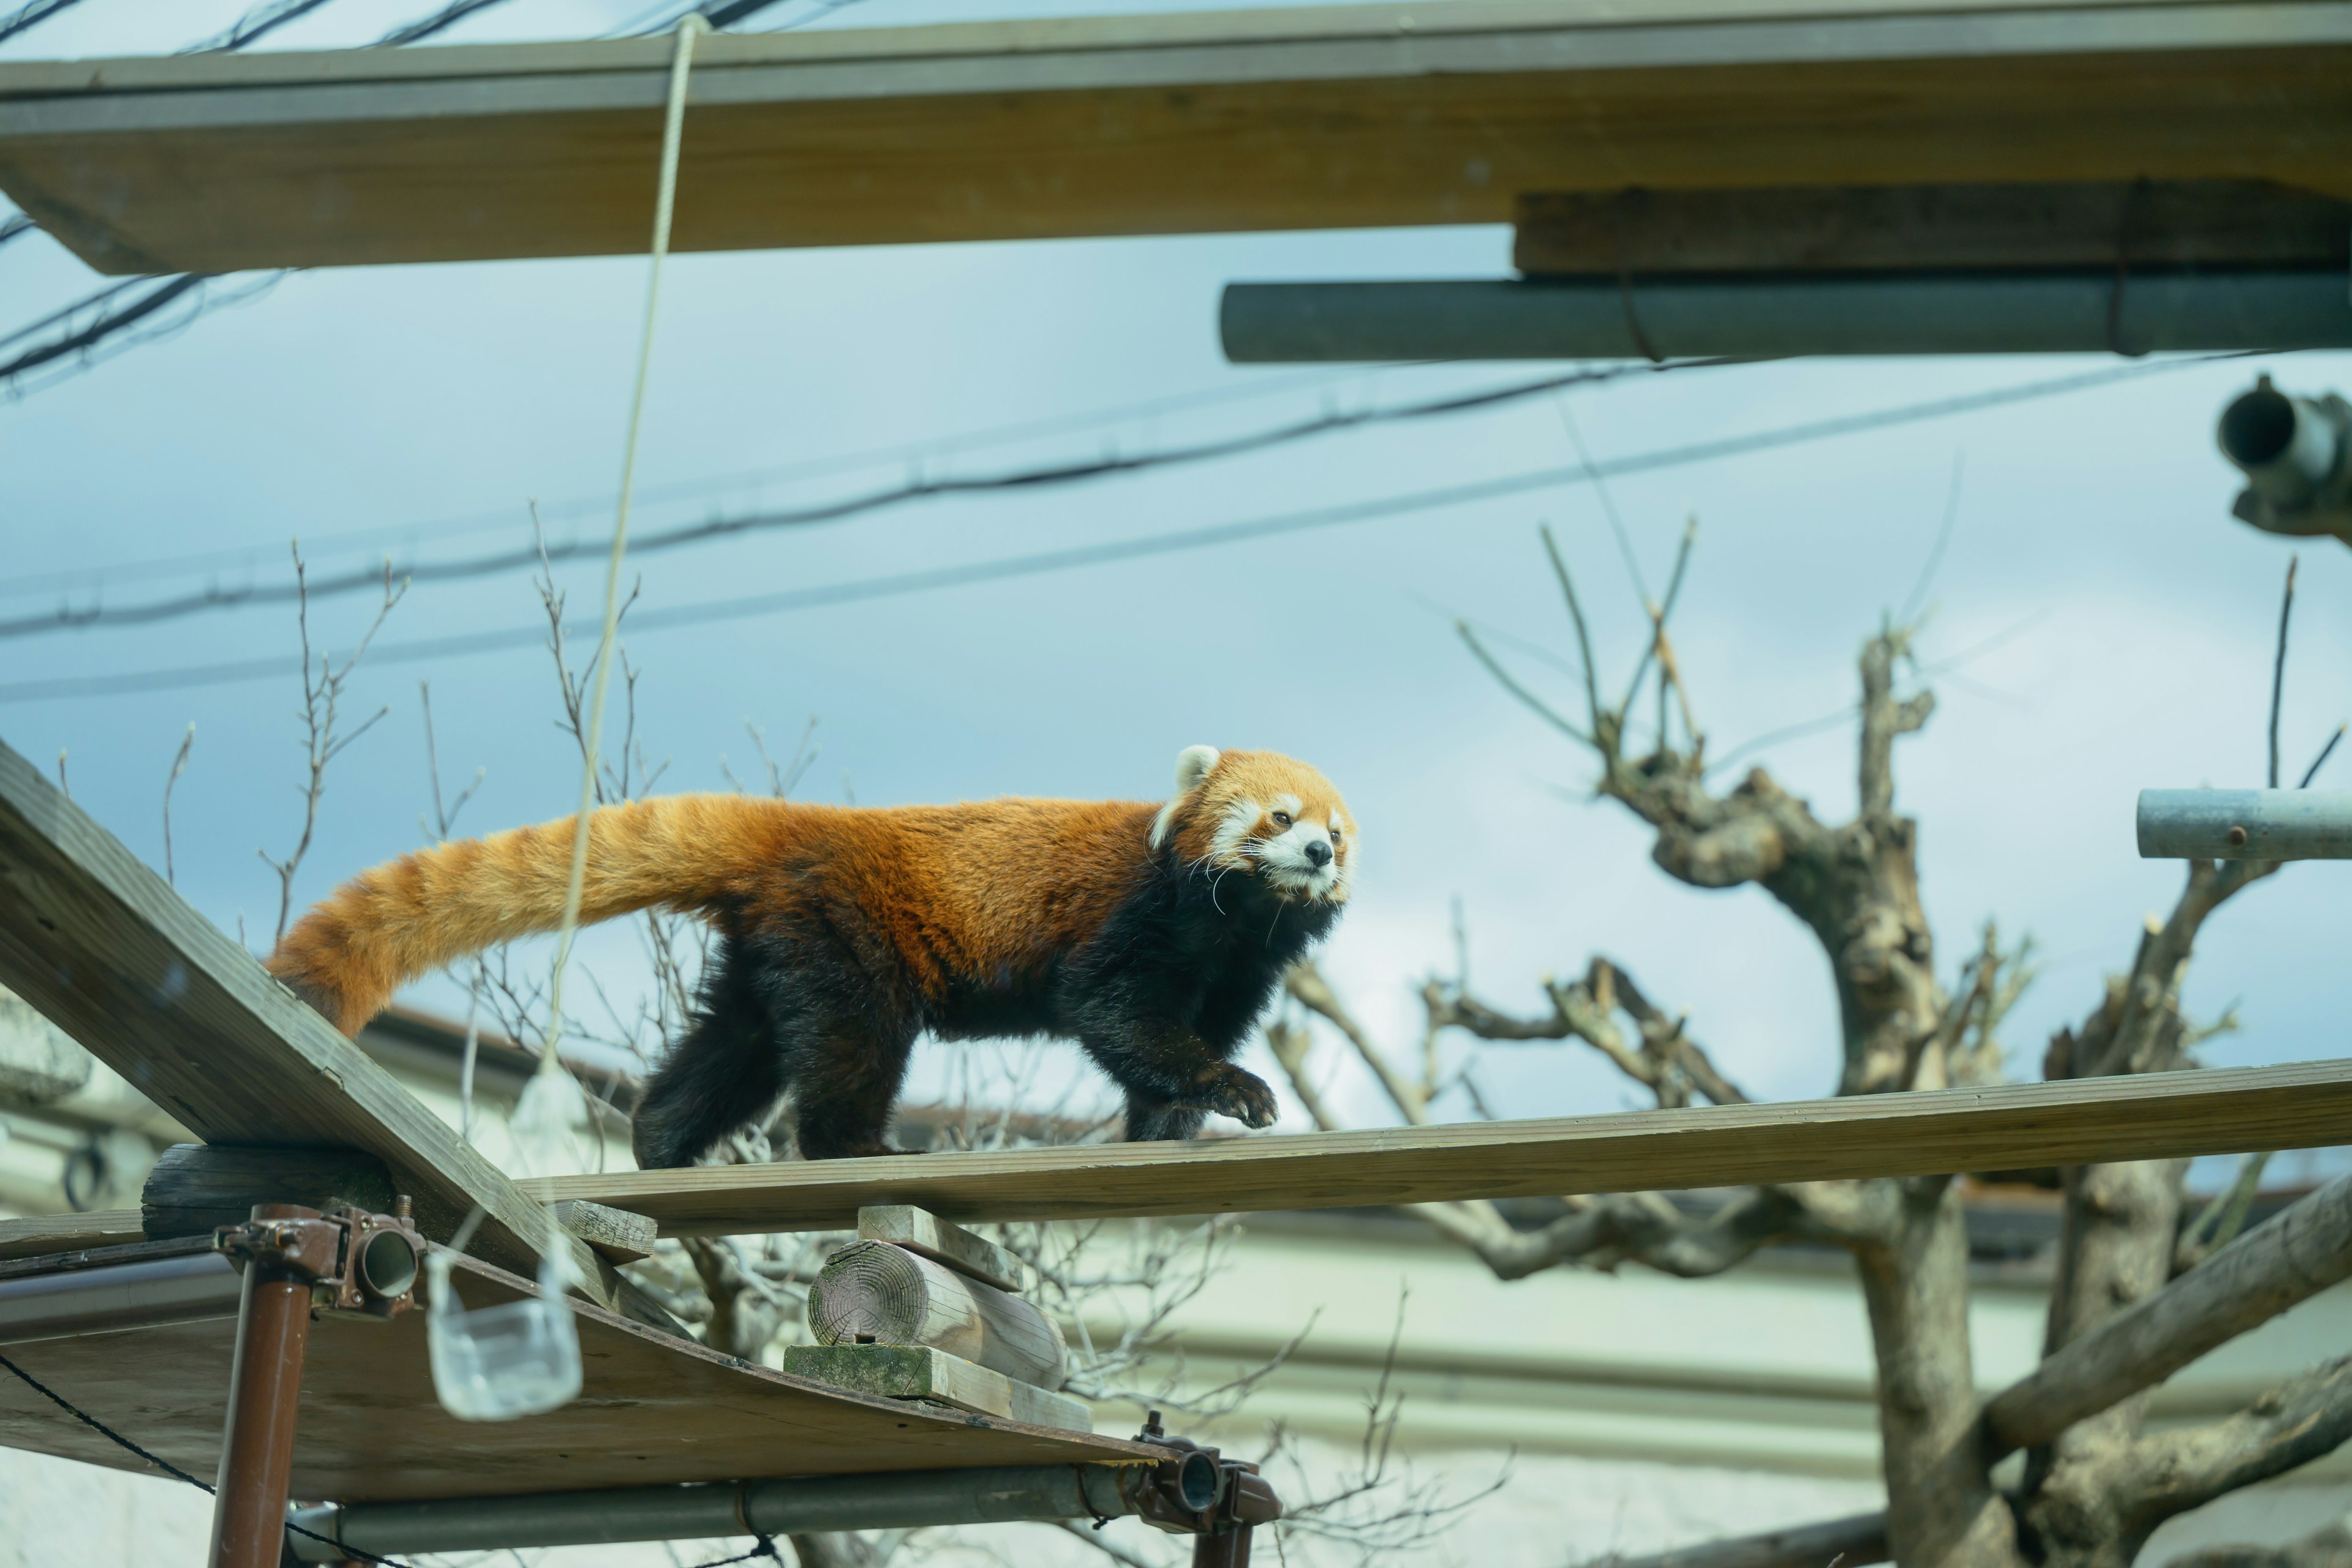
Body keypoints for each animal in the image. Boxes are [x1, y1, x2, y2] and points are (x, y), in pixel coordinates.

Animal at [265, 747, 1354, 1166]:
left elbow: (1173, 1040)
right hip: (853, 937)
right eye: (1278, 816)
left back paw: (663, 1141)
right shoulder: (1130, 919)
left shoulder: (1240, 969)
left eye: (1337, 835)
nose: (1316, 854)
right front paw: (1234, 1090)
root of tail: (805, 826)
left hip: (776, 941)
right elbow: (1113, 1014)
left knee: (734, 1043)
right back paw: (857, 1144)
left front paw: (1169, 1121)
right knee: (849, 1048)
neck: (1228, 924)